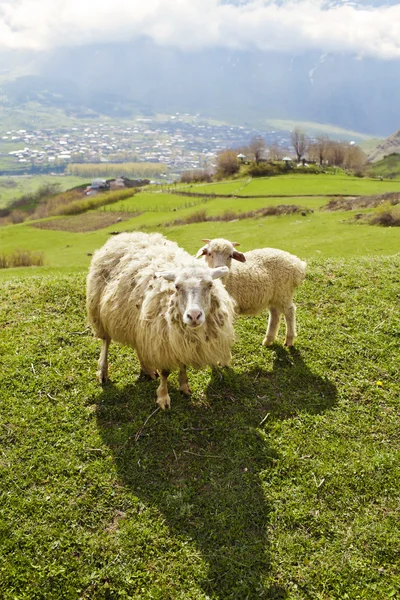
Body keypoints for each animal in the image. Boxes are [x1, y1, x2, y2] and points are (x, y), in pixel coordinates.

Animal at [86, 232, 236, 410]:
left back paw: (148, 369)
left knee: (139, 344)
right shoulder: (162, 340)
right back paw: (103, 372)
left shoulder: (176, 341)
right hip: (99, 311)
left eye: (210, 284)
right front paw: (163, 398)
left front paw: (184, 385)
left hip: (138, 323)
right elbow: (165, 372)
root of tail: (126, 234)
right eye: (177, 286)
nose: (194, 316)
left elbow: (182, 364)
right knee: (106, 342)